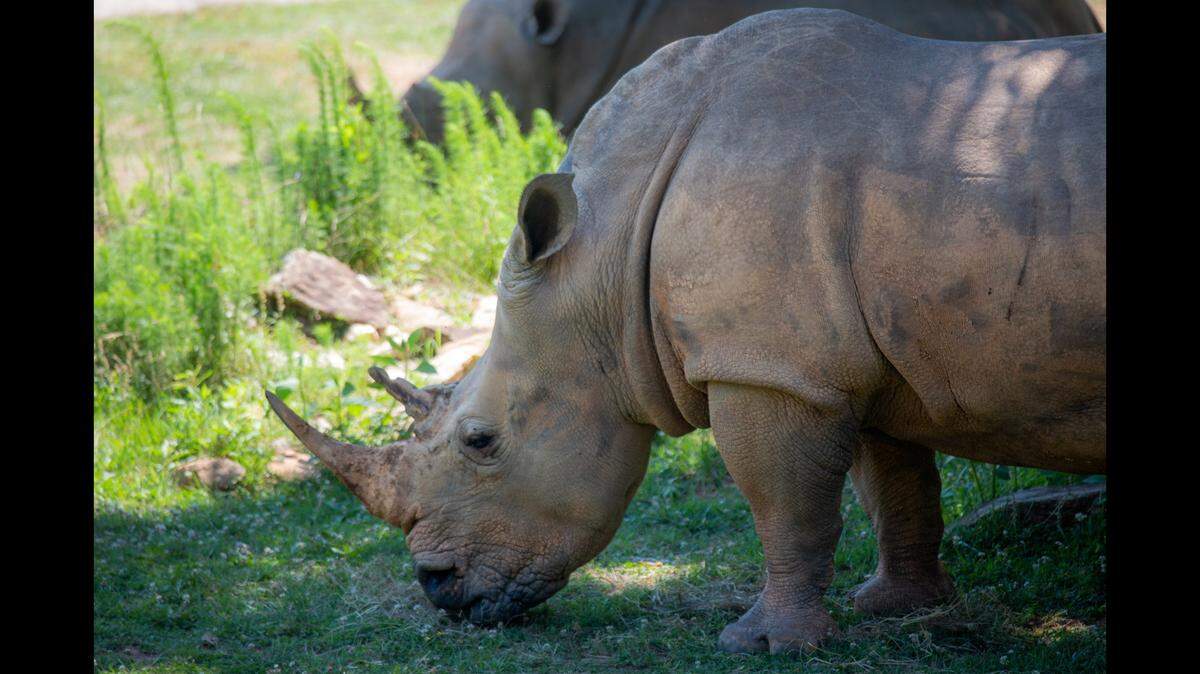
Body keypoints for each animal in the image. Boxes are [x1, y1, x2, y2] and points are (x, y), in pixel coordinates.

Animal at [272, 8, 1106, 654]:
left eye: (480, 442)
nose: (436, 587)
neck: (602, 251)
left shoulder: (764, 366)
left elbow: (786, 506)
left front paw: (764, 644)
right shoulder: (840, 356)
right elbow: (895, 483)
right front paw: (897, 607)